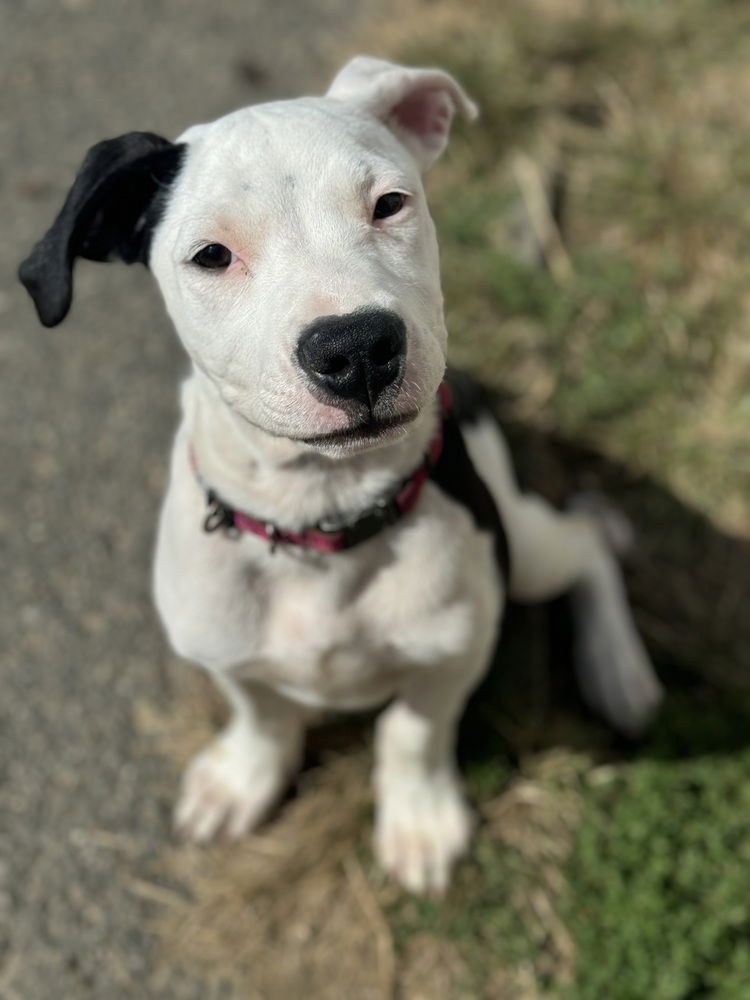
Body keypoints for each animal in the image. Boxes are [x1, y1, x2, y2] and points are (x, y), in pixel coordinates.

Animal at [17, 58, 664, 896]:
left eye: (390, 204)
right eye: (212, 255)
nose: (355, 347)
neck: (318, 518)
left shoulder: (456, 648)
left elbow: (413, 730)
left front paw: (420, 820)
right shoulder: (222, 644)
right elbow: (261, 713)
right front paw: (244, 779)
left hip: (519, 545)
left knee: (586, 538)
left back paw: (620, 673)